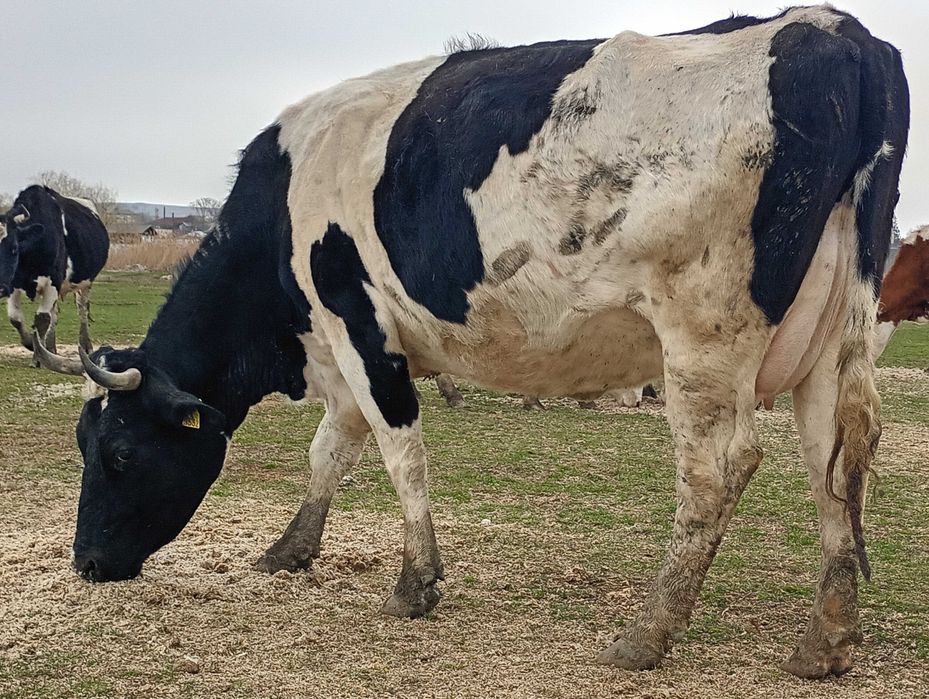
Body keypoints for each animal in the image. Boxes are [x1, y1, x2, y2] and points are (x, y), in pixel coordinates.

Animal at [0, 185, 109, 360]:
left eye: (14, 248)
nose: (0, 289)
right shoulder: (13, 284)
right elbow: (15, 318)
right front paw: (31, 343)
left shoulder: (52, 283)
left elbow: (42, 319)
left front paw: (38, 356)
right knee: (55, 314)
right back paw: (50, 347)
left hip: (85, 284)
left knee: (82, 311)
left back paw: (85, 345)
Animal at [35, 7, 907, 679]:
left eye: (118, 452)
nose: (86, 563)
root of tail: (831, 30)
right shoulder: (342, 346)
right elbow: (330, 448)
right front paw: (290, 549)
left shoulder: (359, 324)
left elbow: (397, 451)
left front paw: (414, 582)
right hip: (830, 337)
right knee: (832, 460)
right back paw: (826, 640)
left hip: (701, 333)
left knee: (717, 468)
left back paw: (645, 634)